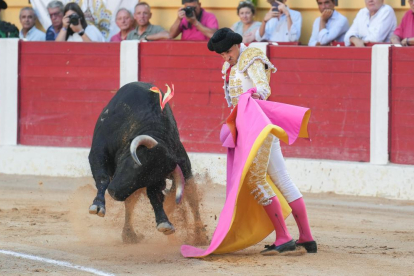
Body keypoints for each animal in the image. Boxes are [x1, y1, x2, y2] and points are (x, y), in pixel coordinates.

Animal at [88, 81, 205, 243]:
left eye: (151, 178)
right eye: (135, 163)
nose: (114, 193)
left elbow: (155, 197)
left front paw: (164, 222)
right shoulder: (98, 152)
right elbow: (102, 178)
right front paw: (98, 205)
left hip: (186, 173)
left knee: (193, 202)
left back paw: (200, 236)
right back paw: (129, 234)